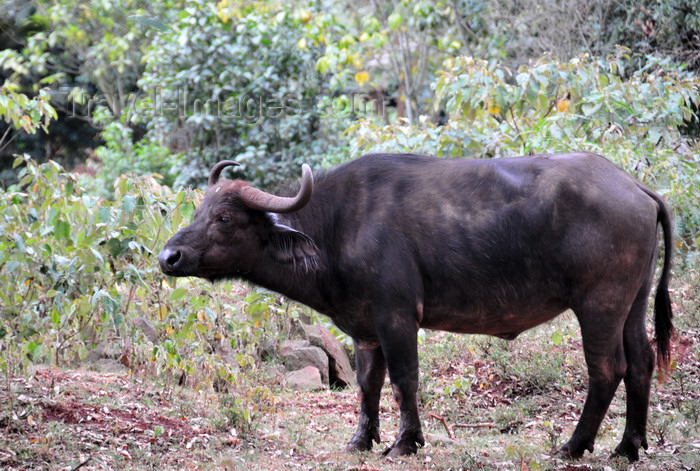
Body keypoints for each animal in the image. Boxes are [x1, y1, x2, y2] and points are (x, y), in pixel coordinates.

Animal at [159, 154, 672, 460]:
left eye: (225, 217)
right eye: (200, 210)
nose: (169, 257)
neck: (339, 228)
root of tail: (636, 188)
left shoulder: (398, 318)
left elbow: (405, 379)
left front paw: (406, 442)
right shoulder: (364, 330)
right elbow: (367, 384)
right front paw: (361, 439)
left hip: (599, 304)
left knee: (607, 368)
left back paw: (574, 445)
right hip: (632, 303)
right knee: (642, 362)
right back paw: (629, 446)